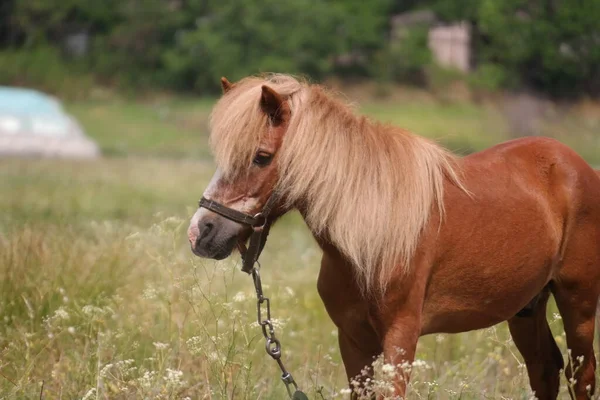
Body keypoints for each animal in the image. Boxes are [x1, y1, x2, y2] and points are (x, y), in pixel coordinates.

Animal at [188, 75, 600, 400]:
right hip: (527, 307)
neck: (372, 233)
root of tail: (577, 166)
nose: (200, 232)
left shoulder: (400, 339)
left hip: (577, 304)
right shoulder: (353, 341)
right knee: (545, 370)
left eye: (261, 156)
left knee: (581, 375)